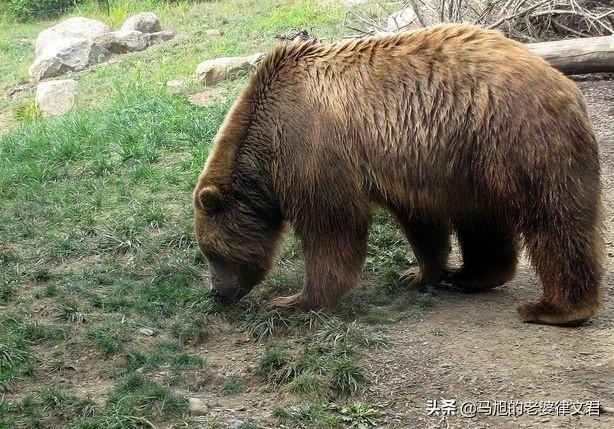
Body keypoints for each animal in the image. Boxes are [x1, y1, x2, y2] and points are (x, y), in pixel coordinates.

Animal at [194, 23, 608, 324]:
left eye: (212, 251)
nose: (217, 293)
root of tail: (565, 86)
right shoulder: (404, 168)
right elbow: (422, 223)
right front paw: (418, 274)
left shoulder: (313, 150)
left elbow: (330, 227)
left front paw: (293, 301)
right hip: (471, 163)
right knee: (482, 219)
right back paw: (472, 275)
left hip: (516, 140)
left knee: (554, 221)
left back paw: (556, 308)